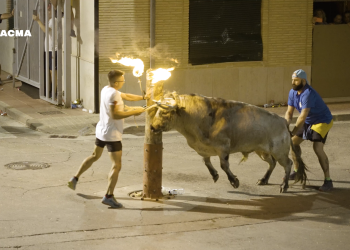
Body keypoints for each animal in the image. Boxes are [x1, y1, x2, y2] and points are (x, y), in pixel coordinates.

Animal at [150, 92, 306, 193]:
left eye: (163, 112)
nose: (152, 127)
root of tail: (283, 121)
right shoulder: (204, 148)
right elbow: (206, 162)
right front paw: (214, 175)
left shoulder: (223, 147)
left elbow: (224, 165)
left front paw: (234, 181)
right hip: (262, 150)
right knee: (272, 163)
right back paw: (263, 179)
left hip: (279, 151)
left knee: (288, 164)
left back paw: (284, 186)